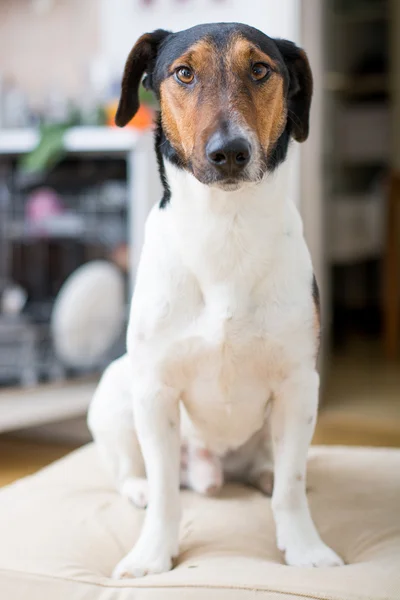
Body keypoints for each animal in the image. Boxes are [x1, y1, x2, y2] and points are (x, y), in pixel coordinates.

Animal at [87, 21, 344, 580]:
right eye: (184, 73)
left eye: (261, 70)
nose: (230, 152)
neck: (227, 228)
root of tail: (213, 469)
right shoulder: (155, 388)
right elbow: (166, 493)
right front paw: (152, 554)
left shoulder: (299, 385)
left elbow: (291, 488)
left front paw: (305, 548)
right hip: (117, 390)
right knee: (133, 469)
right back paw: (138, 488)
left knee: (276, 469)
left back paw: (264, 474)